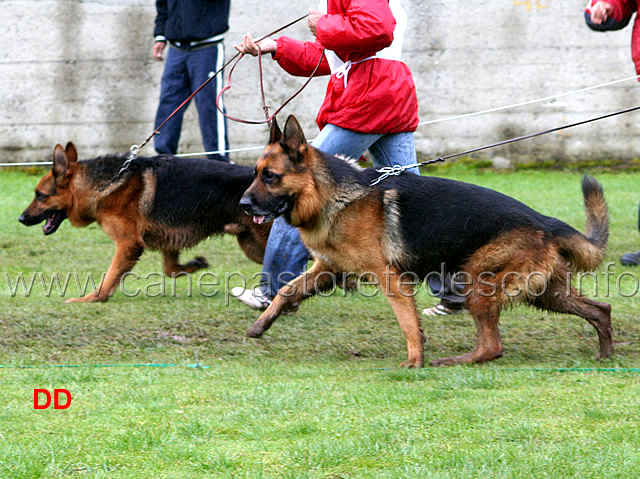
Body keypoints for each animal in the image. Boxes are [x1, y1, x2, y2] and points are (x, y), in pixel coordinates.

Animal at [18, 141, 272, 302]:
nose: (21, 218)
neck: (104, 185)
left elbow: (109, 276)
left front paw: (91, 299)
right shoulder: (169, 240)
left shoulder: (127, 245)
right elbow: (171, 270)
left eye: (40, 195)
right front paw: (194, 265)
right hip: (252, 247)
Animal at [240, 116, 616, 368]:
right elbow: (287, 290)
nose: (243, 204)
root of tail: (546, 222)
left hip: (478, 281)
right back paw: (606, 353)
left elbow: (407, 322)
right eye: (255, 174)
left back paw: (455, 361)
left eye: (270, 177)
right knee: (600, 309)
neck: (331, 194)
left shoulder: (390, 278)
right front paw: (261, 325)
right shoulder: (328, 268)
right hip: (546, 293)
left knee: (492, 346)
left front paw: (414, 360)